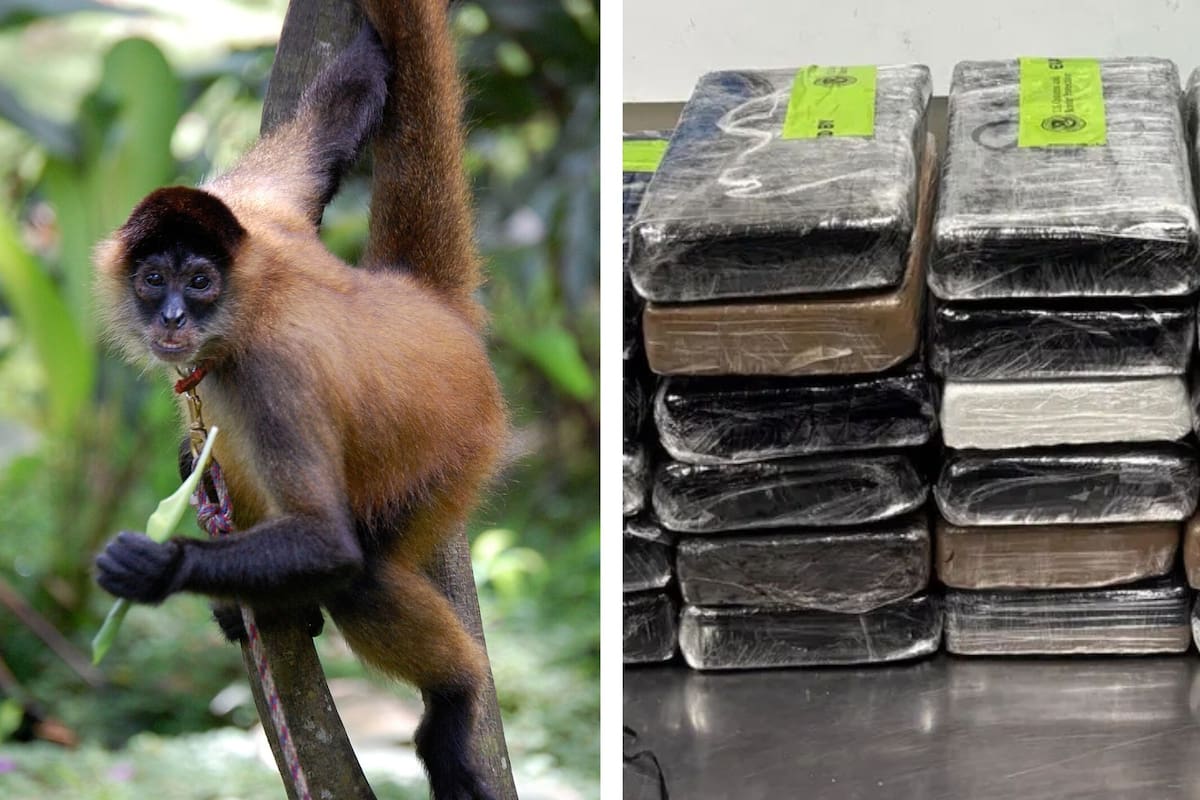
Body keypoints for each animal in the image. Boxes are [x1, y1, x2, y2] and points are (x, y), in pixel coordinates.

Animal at [91, 2, 507, 798]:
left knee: (363, 573)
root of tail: (428, 311)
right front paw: (368, 50)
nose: (172, 320)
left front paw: (161, 568)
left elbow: (331, 543)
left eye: (199, 283)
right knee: (210, 455)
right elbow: (337, 116)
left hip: (452, 459)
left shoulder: (273, 373)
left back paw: (454, 697)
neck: (249, 296)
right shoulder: (253, 208)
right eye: (154, 278)